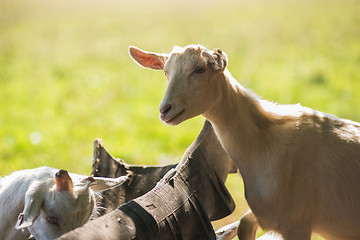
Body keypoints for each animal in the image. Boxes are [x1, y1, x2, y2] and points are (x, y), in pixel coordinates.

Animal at [129, 45, 360, 240]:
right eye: (166, 72)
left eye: (200, 69)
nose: (165, 110)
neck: (264, 141)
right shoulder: (266, 214)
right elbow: (243, 225)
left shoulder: (297, 222)